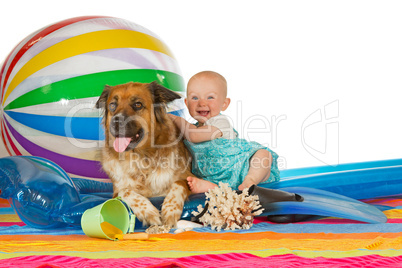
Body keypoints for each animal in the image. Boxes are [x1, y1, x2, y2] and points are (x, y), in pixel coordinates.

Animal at [96, 81, 193, 228]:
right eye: (112, 105)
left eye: (138, 104)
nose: (116, 122)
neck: (141, 159)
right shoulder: (116, 192)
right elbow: (126, 191)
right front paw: (148, 211)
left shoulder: (189, 177)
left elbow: (178, 184)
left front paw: (170, 209)